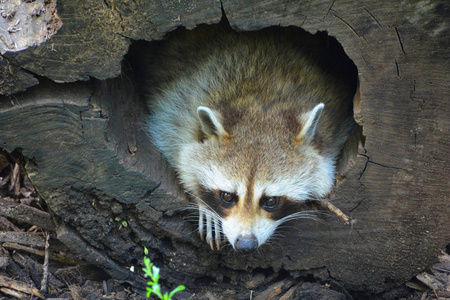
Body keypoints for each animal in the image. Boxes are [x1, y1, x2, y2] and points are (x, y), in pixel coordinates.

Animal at [144, 24, 358, 253]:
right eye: (227, 196)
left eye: (271, 200)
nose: (246, 245)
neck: (260, 99)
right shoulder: (179, 106)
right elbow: (174, 147)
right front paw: (203, 203)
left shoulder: (334, 123)